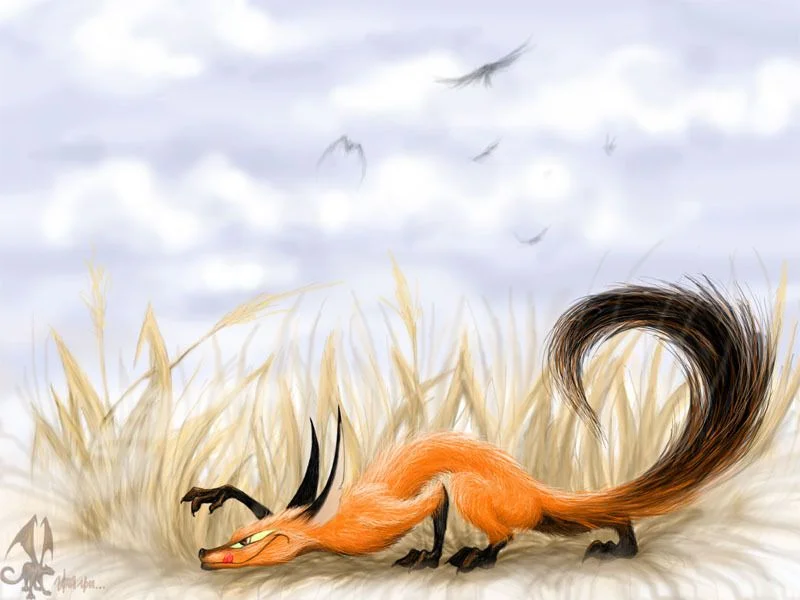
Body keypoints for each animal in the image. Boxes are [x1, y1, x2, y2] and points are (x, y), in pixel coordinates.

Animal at [181, 277, 775, 573]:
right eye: (234, 535)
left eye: (251, 540)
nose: (205, 556)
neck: (331, 520)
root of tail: (531, 486)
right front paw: (210, 493)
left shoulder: (397, 509)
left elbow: (435, 502)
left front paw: (429, 556)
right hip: (552, 514)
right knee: (598, 518)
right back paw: (619, 544)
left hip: (484, 494)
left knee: (508, 529)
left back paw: (479, 555)